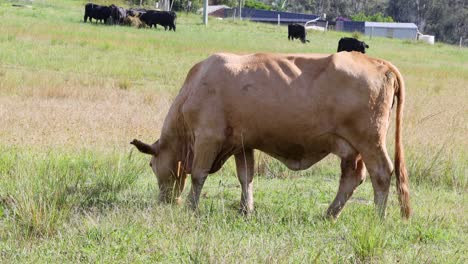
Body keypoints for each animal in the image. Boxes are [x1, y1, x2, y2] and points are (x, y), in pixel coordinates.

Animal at [130, 51, 412, 219]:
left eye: (151, 165)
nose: (165, 201)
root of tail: (380, 64)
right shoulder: (242, 144)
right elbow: (246, 177)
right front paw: (246, 209)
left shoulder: (208, 138)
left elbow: (199, 175)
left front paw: (191, 206)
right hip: (352, 149)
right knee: (352, 178)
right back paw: (330, 213)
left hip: (370, 142)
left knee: (381, 174)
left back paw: (377, 217)